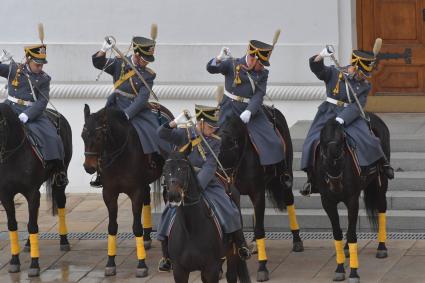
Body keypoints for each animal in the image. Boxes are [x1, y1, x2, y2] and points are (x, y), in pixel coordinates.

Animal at [0, 103, 72, 278]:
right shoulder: (5, 195)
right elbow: (13, 225)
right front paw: (14, 261)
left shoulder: (32, 192)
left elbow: (32, 226)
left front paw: (34, 264)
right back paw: (28, 243)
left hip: (60, 177)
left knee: (61, 201)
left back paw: (64, 240)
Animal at [82, 105, 170, 280]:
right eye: (82, 136)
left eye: (99, 137)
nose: (89, 167)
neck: (119, 155)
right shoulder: (109, 193)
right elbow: (112, 227)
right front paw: (110, 263)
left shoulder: (135, 191)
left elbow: (136, 227)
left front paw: (141, 264)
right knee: (147, 197)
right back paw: (147, 237)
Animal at [161, 152, 248, 282]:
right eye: (164, 170)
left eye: (184, 169)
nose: (173, 195)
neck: (190, 229)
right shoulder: (179, 271)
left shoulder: (211, 268)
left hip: (231, 251)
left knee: (231, 275)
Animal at [217, 106, 304, 282]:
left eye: (229, 151)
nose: (222, 179)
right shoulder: (236, 195)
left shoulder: (256, 192)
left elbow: (259, 230)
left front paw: (262, 266)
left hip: (285, 176)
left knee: (289, 200)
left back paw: (296, 239)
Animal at [314, 113, 390, 283]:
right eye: (323, 140)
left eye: (342, 138)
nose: (333, 154)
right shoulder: (327, 202)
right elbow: (338, 233)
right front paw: (339, 268)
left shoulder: (352, 199)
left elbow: (352, 234)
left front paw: (354, 272)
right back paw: (347, 248)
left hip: (381, 184)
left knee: (381, 208)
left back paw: (381, 247)